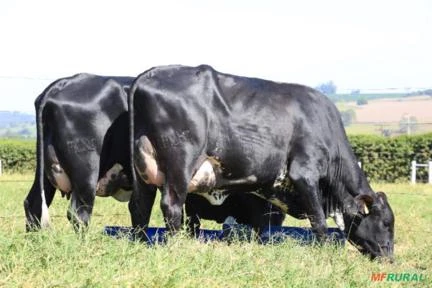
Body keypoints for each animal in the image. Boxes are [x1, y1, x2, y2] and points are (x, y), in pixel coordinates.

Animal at [131, 64, 394, 258]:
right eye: (385, 223)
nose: (390, 258)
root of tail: (147, 75)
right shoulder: (304, 174)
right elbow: (317, 218)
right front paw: (326, 249)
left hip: (143, 167)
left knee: (140, 205)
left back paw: (140, 241)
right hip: (180, 163)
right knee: (171, 205)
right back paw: (178, 247)